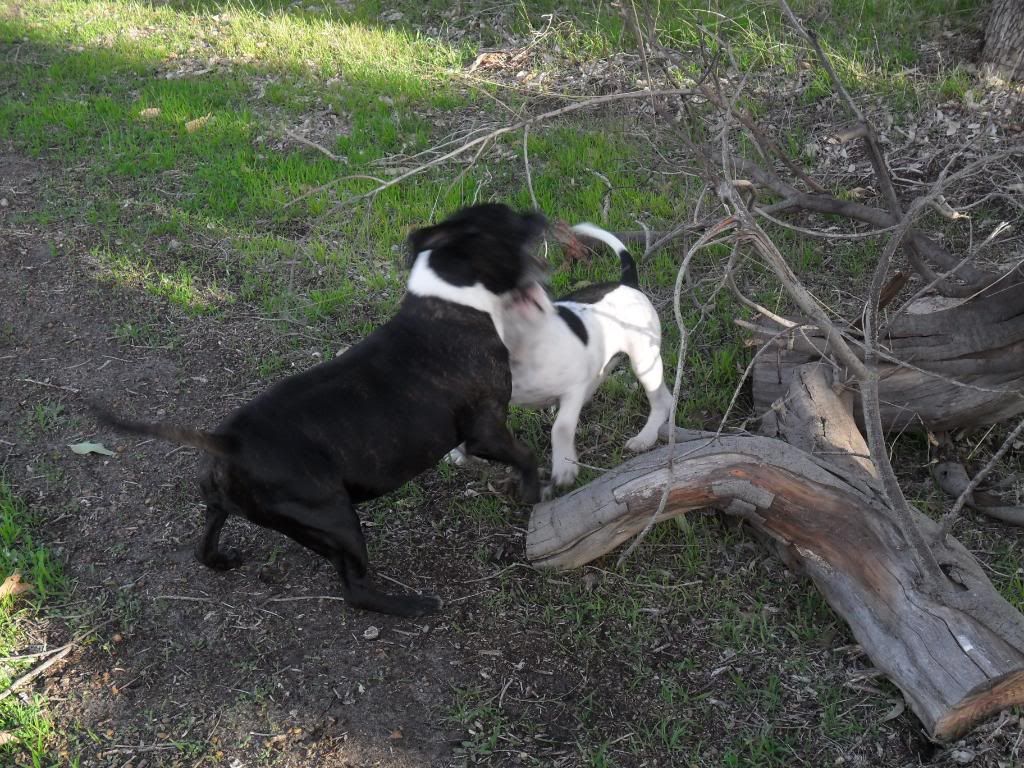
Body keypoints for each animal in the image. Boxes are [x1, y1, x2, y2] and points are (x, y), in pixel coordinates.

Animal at [95, 204, 544, 618]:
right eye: (509, 218)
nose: (537, 214)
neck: (451, 294)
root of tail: (227, 442)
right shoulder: (487, 429)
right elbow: (526, 455)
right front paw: (533, 491)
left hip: (224, 507)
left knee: (205, 544)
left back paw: (222, 560)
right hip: (338, 522)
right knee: (356, 591)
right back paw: (413, 605)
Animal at [450, 222, 671, 487]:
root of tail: (626, 284)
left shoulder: (572, 391)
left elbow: (561, 428)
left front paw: (564, 468)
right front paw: (459, 452)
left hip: (644, 361)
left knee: (663, 400)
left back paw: (645, 437)